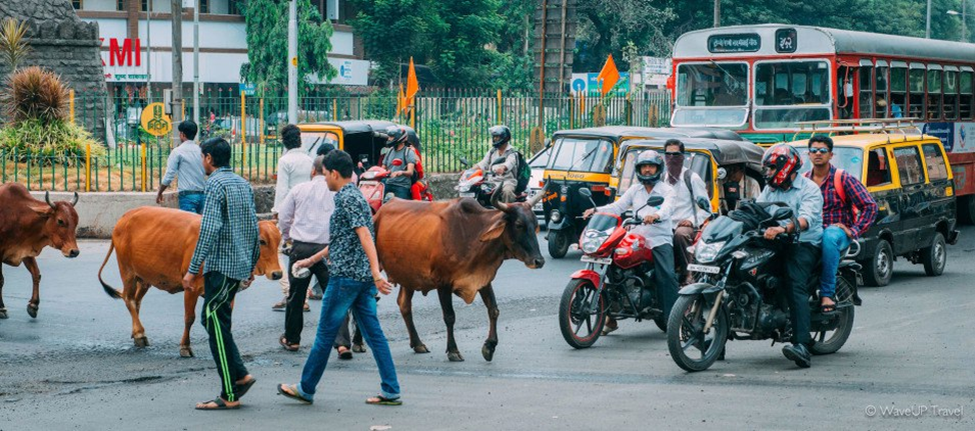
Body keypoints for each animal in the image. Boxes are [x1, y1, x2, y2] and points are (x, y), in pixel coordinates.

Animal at [0, 183, 80, 320]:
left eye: (76, 221)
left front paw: (34, 305)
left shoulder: (26, 251)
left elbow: (36, 274)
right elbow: (0, 280)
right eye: (60, 221)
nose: (74, 251)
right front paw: (1, 308)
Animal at [97, 207, 282, 358]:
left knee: (136, 302)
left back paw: (135, 332)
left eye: (279, 240)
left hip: (144, 279)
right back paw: (140, 334)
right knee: (128, 299)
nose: (277, 273)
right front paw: (185, 347)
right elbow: (189, 318)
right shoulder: (191, 288)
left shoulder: (229, 293)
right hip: (127, 271)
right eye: (262, 241)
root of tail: (125, 216)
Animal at [374, 191, 544, 362]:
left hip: (409, 276)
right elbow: (449, 316)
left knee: (404, 304)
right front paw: (453, 350)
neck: (472, 235)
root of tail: (381, 210)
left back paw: (417, 344)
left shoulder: (482, 279)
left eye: (535, 223)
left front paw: (489, 346)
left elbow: (493, 310)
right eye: (519, 225)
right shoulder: (443, 282)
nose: (539, 261)